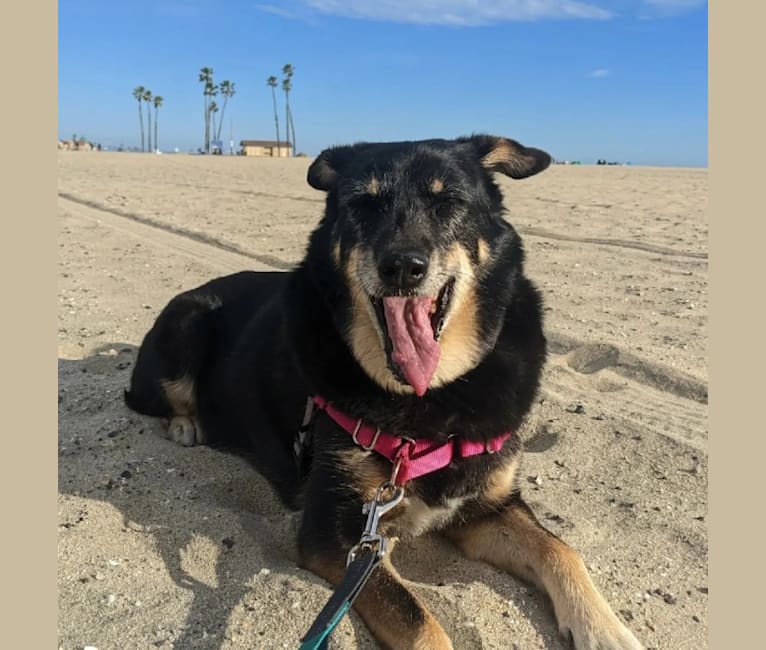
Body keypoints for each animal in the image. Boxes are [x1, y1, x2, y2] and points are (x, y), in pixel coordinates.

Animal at [124, 134, 640, 644]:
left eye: (448, 202)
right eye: (363, 205)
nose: (403, 268)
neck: (428, 400)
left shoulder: (487, 506)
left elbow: (559, 549)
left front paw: (605, 629)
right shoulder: (338, 533)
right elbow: (419, 623)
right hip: (188, 321)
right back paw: (185, 425)